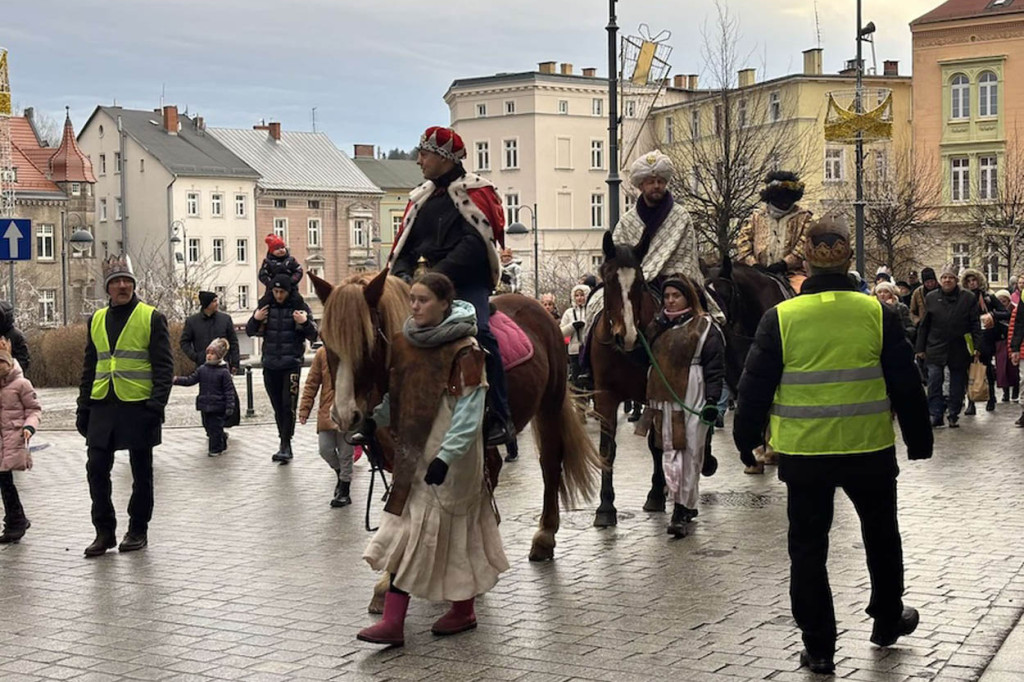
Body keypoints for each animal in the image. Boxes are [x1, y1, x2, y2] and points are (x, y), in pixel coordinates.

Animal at [307, 268, 602, 561]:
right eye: (325, 340)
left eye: (367, 340)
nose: (344, 414)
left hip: (549, 404)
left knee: (550, 463)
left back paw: (544, 536)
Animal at [589, 232, 667, 524]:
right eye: (609, 279)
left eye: (640, 283)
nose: (628, 336)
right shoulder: (605, 397)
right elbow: (606, 449)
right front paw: (605, 506)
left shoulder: (656, 394)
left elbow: (657, 444)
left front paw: (656, 494)